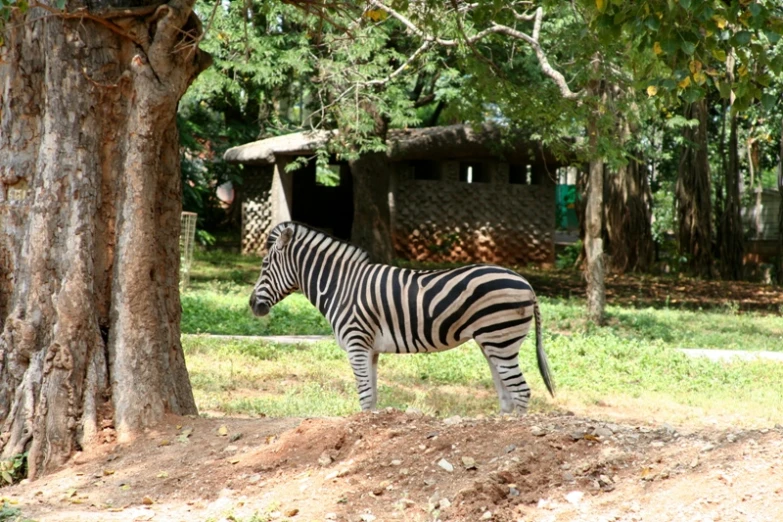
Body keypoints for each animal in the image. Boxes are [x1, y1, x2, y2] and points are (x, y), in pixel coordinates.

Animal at [248, 219, 556, 410]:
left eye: (264, 265)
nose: (252, 305)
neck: (341, 286)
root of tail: (525, 282)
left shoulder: (356, 344)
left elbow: (364, 397)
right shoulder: (370, 350)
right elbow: (372, 398)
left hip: (501, 340)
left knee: (521, 392)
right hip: (491, 343)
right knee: (507, 396)